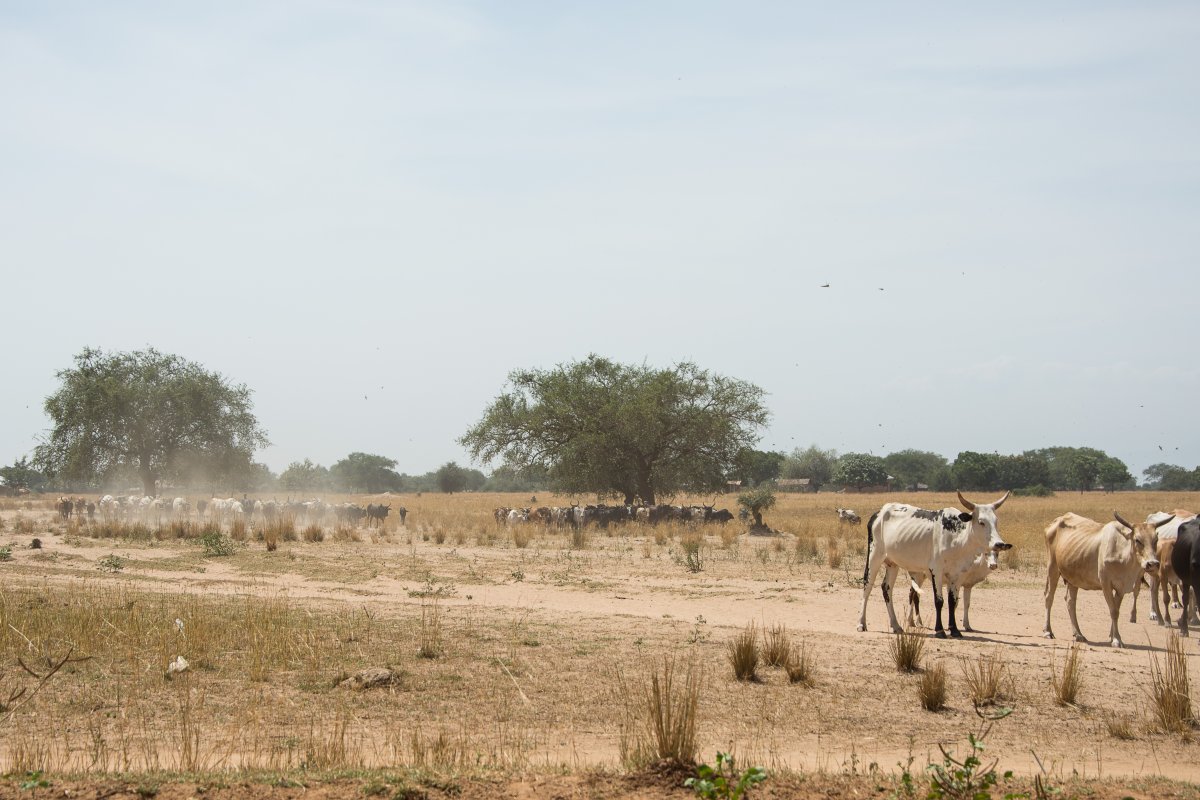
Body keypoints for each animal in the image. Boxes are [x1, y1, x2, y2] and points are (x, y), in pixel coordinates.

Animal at [854, 489, 1012, 638]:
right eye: (981, 522)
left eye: (996, 521)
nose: (999, 544)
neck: (957, 538)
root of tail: (879, 513)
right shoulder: (936, 571)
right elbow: (939, 601)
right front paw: (940, 630)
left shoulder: (957, 576)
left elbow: (952, 601)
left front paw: (954, 630)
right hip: (874, 556)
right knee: (867, 586)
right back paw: (861, 623)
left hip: (892, 563)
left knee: (887, 588)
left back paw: (896, 625)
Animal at [1041, 513, 1171, 652]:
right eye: (1137, 540)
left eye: (1155, 540)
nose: (1152, 563)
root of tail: (1057, 520)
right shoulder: (1106, 585)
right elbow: (1113, 611)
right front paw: (1116, 639)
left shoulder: (1121, 588)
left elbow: (1116, 610)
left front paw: (1112, 636)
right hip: (1052, 569)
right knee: (1049, 597)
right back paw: (1048, 631)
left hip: (1073, 578)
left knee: (1070, 602)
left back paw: (1078, 634)